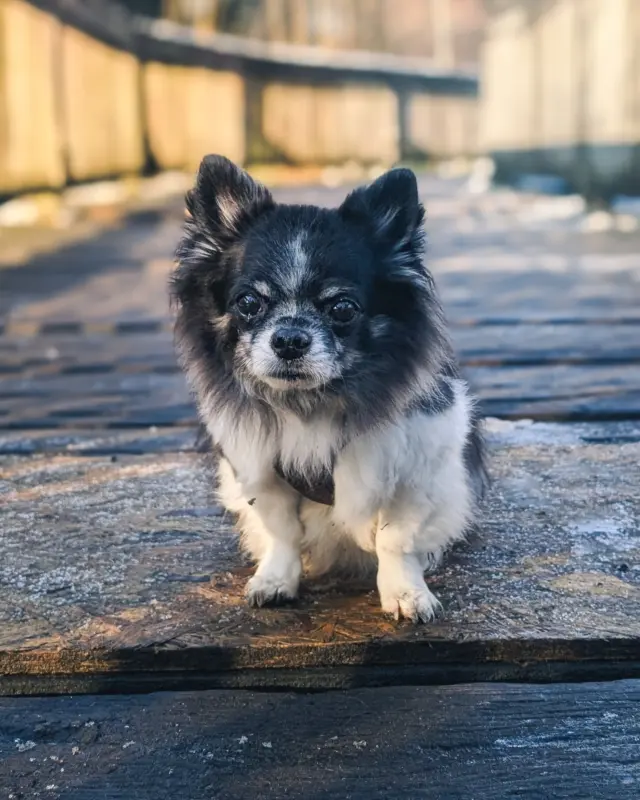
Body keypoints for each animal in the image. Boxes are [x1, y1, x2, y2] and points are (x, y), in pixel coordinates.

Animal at [170, 153, 484, 620]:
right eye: (249, 303)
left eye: (342, 309)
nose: (289, 339)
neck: (309, 402)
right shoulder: (259, 470)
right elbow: (282, 531)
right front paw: (277, 579)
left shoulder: (417, 465)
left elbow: (395, 539)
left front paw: (405, 592)